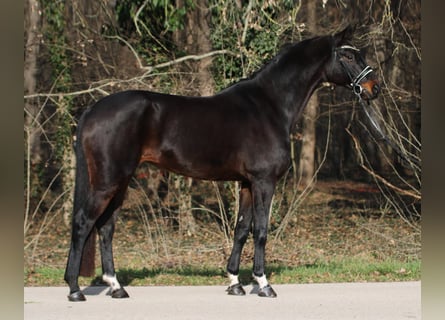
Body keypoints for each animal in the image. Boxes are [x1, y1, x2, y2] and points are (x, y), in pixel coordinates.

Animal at [64, 26, 380, 302]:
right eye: (348, 56)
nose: (373, 88)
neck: (269, 106)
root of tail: (92, 110)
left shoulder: (246, 183)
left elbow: (240, 230)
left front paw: (235, 283)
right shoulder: (264, 181)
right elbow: (260, 230)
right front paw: (264, 284)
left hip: (120, 182)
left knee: (106, 227)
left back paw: (116, 286)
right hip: (108, 182)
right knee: (83, 222)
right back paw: (75, 289)